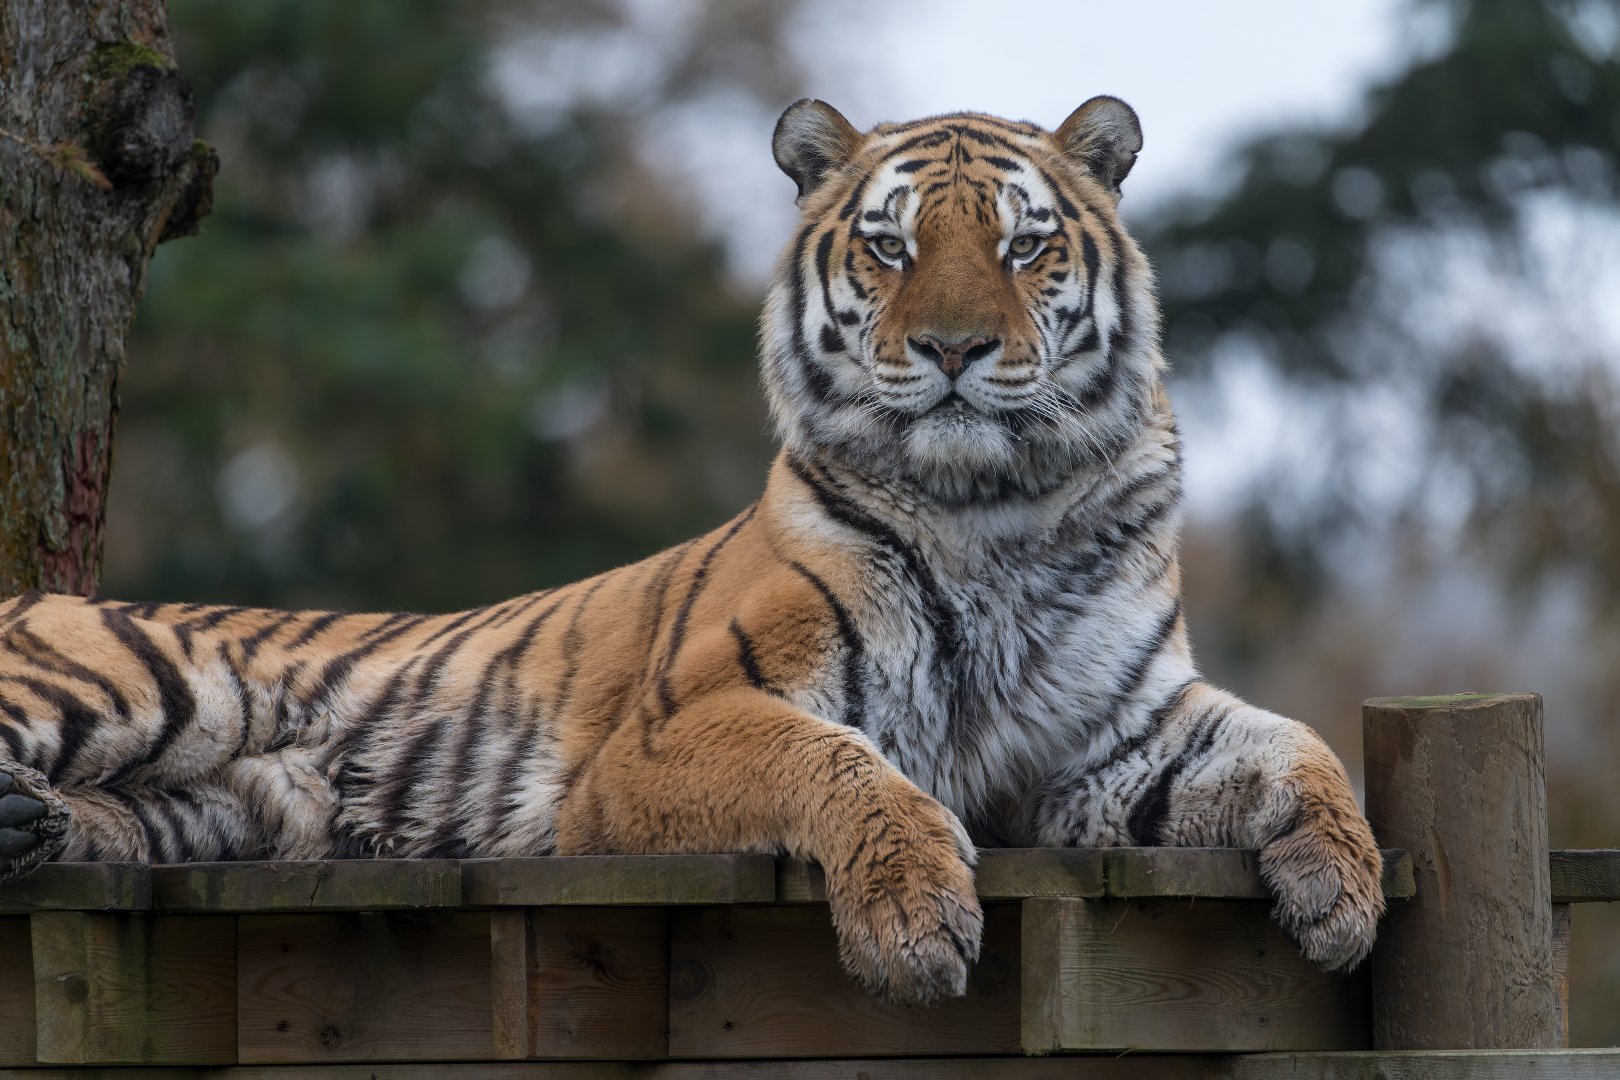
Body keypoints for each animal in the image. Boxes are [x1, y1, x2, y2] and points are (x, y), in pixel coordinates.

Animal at [0, 96, 1384, 1006]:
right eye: (891, 245)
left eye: (1023, 244)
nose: (951, 348)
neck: (997, 511)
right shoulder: (678, 728)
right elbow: (846, 767)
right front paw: (913, 924)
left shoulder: (1115, 731)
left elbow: (1297, 745)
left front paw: (1346, 894)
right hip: (140, 682)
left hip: (219, 808)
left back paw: (35, 828)